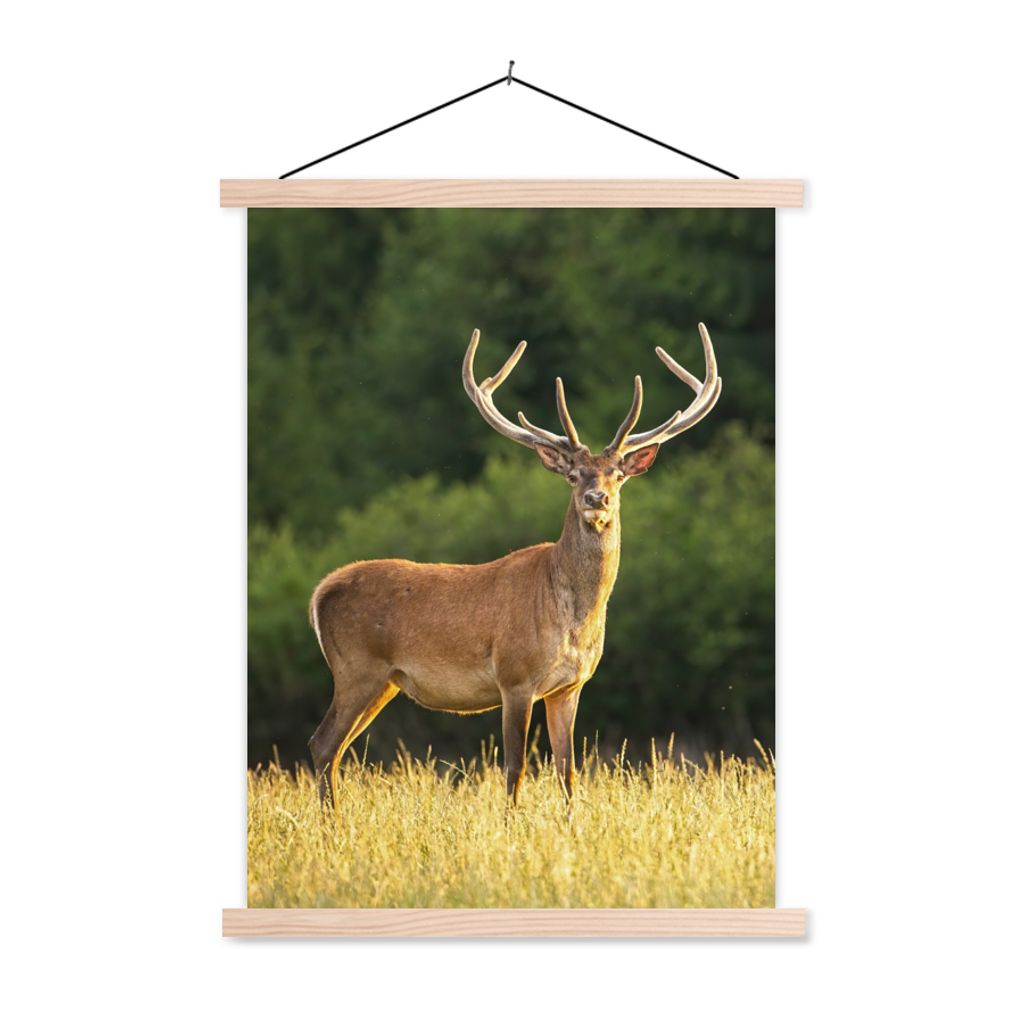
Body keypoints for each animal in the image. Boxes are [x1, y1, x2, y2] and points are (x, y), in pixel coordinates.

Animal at [308, 324, 722, 807]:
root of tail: (320, 593)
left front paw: (570, 821)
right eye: (573, 474)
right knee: (322, 744)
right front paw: (510, 821)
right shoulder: (515, 677)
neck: (572, 618)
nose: (596, 498)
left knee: (335, 749)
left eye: (618, 474)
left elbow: (568, 771)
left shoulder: (570, 686)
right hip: (356, 668)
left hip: (385, 681)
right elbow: (515, 768)